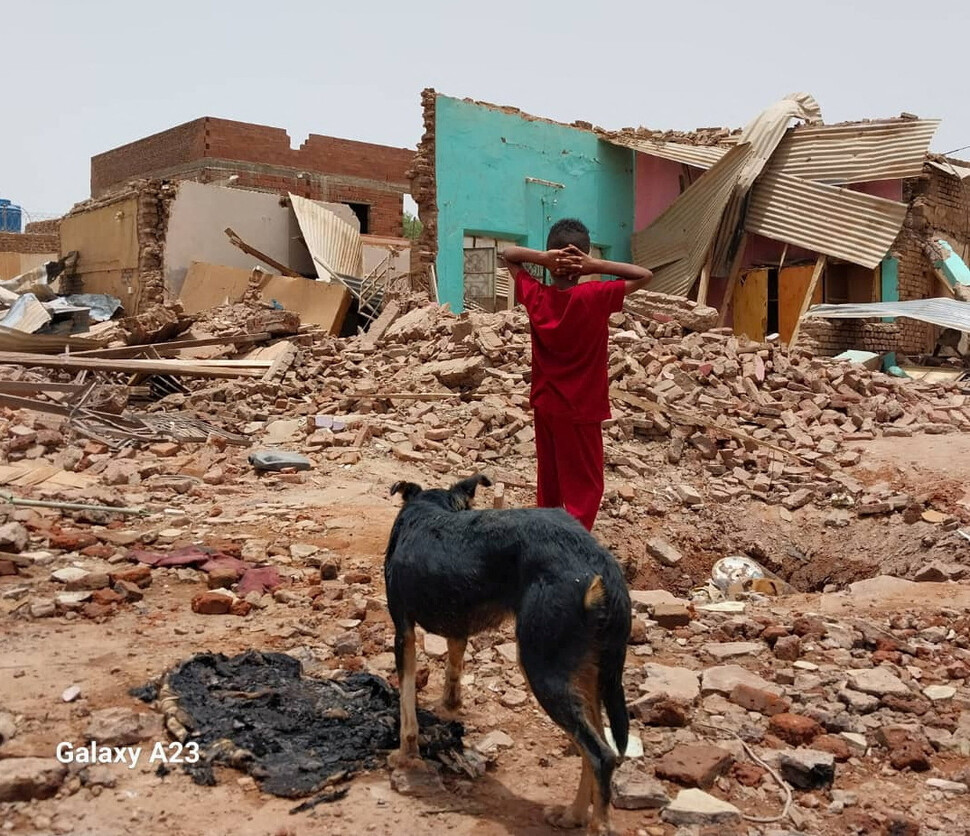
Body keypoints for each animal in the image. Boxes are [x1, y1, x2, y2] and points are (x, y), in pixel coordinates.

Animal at [382, 474, 632, 832]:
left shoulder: (403, 630)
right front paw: (450, 705)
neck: (431, 506)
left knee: (600, 754)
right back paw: (572, 815)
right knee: (594, 744)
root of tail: (603, 567)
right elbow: (453, 666)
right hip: (584, 673)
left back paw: (597, 824)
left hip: (541, 668)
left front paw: (405, 755)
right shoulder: (458, 626)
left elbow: (407, 709)